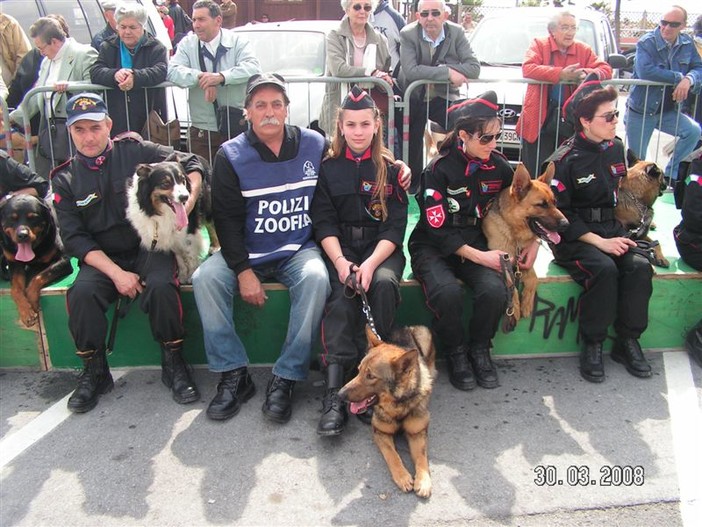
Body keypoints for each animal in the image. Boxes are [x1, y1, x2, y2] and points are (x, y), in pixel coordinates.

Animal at [0, 194, 72, 326]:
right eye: (12, 218)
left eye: (33, 217)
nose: (23, 235)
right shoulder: (14, 264)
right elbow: (15, 289)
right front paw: (26, 311)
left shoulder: (64, 261)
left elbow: (39, 276)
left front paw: (31, 300)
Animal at [338, 326, 438, 500]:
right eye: (358, 371)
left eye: (370, 376)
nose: (340, 394)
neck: (398, 405)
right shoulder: (380, 432)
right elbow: (392, 455)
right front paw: (403, 477)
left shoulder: (417, 433)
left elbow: (421, 458)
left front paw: (424, 481)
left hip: (423, 332)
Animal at [484, 163, 572, 326]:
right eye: (541, 205)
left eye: (555, 202)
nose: (566, 225)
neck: (514, 233)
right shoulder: (502, 262)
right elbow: (512, 284)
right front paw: (515, 308)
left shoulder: (524, 261)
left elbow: (533, 278)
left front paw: (527, 303)